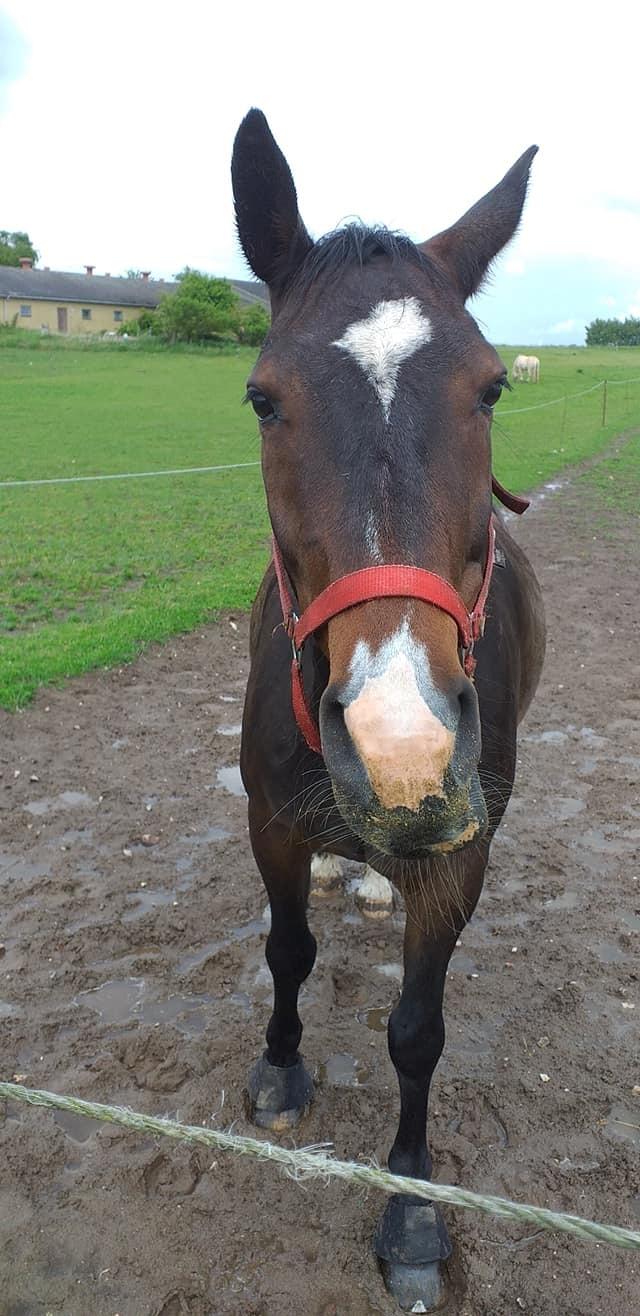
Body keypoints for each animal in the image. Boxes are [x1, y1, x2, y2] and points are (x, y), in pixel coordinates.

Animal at [233, 107, 542, 1310]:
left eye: (492, 388)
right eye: (263, 398)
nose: (401, 745)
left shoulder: (460, 855)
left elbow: (418, 1032)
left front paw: (412, 1208)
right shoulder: (270, 821)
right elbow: (285, 950)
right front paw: (280, 1070)